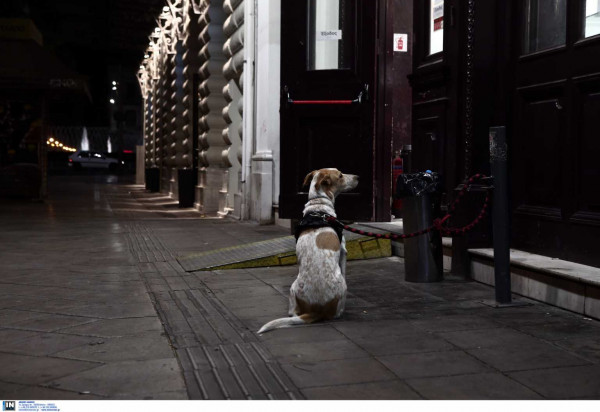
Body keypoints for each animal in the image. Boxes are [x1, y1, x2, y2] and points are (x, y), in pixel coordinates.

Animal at [256, 169, 356, 334]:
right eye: (340, 175)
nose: (358, 177)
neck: (318, 207)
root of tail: (317, 310)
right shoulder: (343, 251)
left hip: (293, 288)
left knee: (293, 313)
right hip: (338, 289)